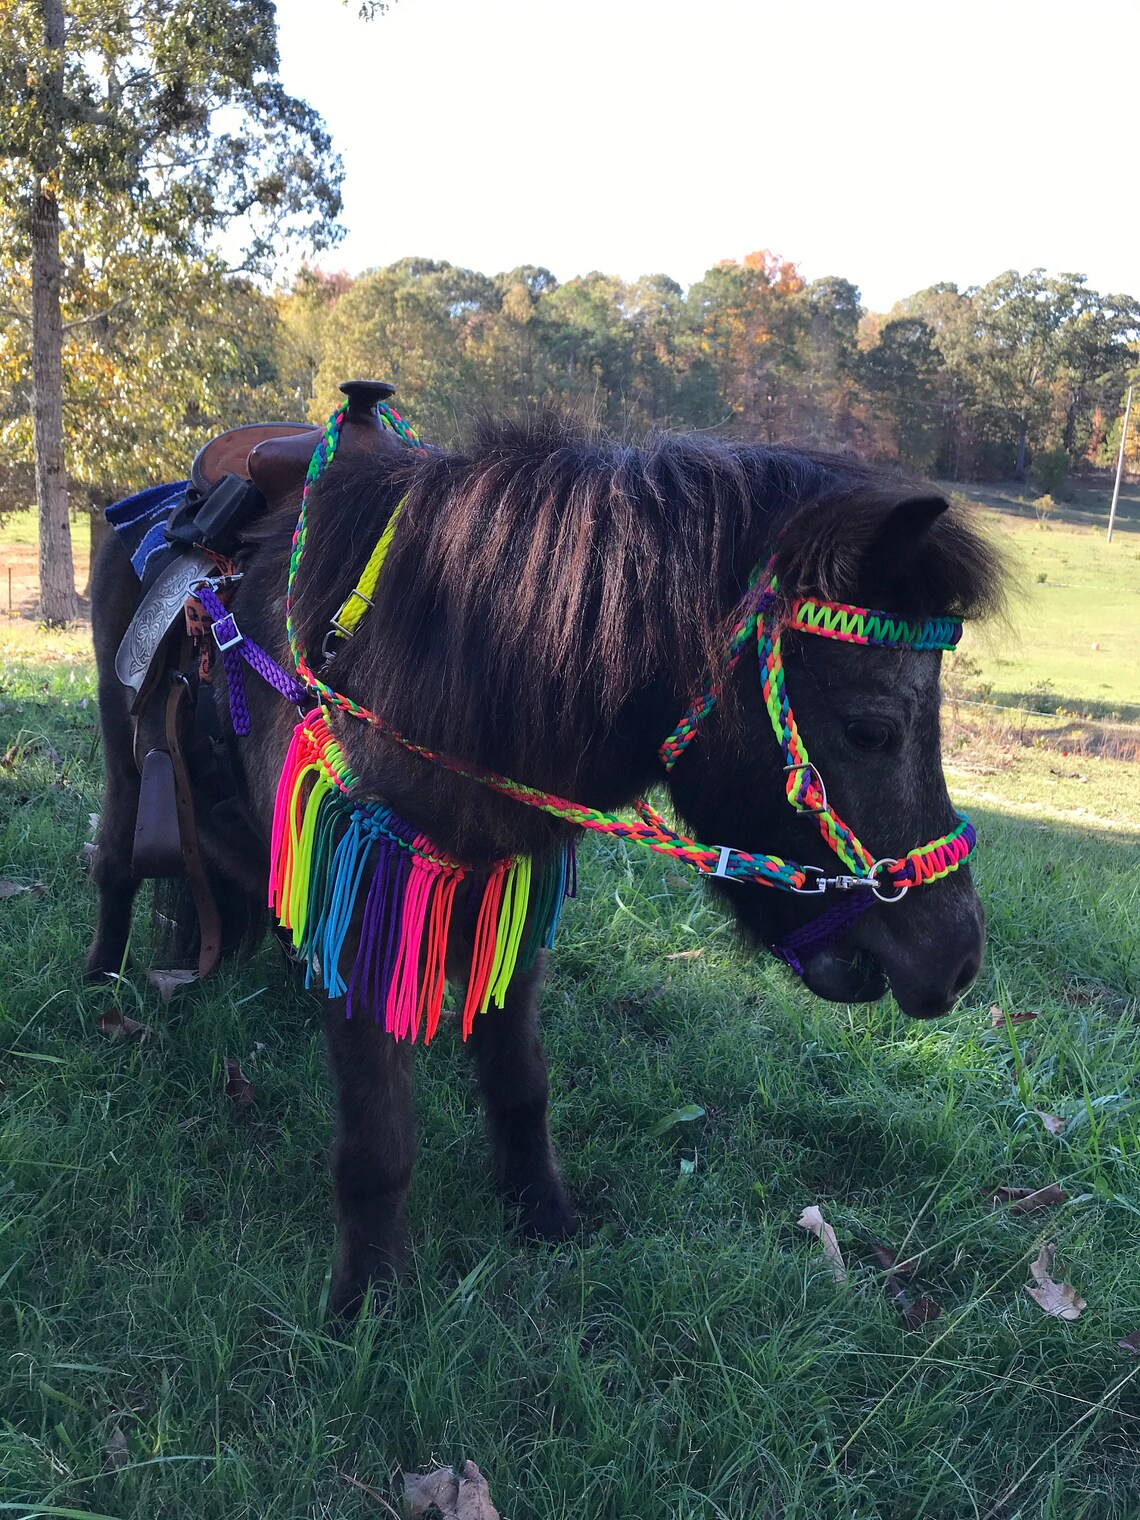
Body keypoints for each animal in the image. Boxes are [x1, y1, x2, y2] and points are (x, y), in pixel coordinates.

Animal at [86, 405, 1004, 1316]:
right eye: (872, 730)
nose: (958, 961)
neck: (428, 660)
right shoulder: (371, 897)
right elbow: (379, 1136)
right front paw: (370, 1296)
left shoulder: (507, 896)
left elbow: (520, 1080)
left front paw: (541, 1213)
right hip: (127, 763)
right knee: (115, 867)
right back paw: (99, 987)